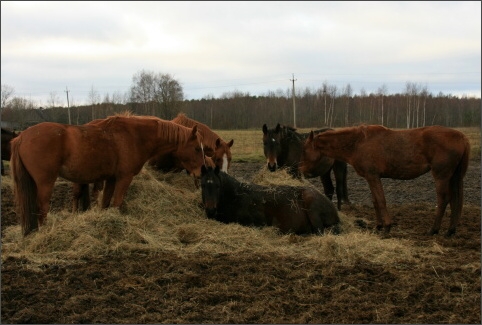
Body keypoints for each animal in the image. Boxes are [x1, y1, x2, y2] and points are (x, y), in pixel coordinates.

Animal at [9, 114, 205, 235]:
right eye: (197, 148)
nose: (202, 173)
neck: (135, 136)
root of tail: (22, 136)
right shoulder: (124, 178)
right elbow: (117, 203)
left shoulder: (111, 179)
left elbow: (105, 203)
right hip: (45, 183)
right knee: (42, 208)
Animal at [302, 124, 470, 235]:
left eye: (305, 151)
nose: (301, 171)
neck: (358, 143)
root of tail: (461, 136)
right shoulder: (371, 178)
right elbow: (376, 201)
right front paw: (378, 226)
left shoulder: (373, 176)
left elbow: (381, 201)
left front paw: (387, 227)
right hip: (453, 177)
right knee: (454, 199)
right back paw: (450, 230)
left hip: (441, 176)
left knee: (443, 200)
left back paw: (434, 230)